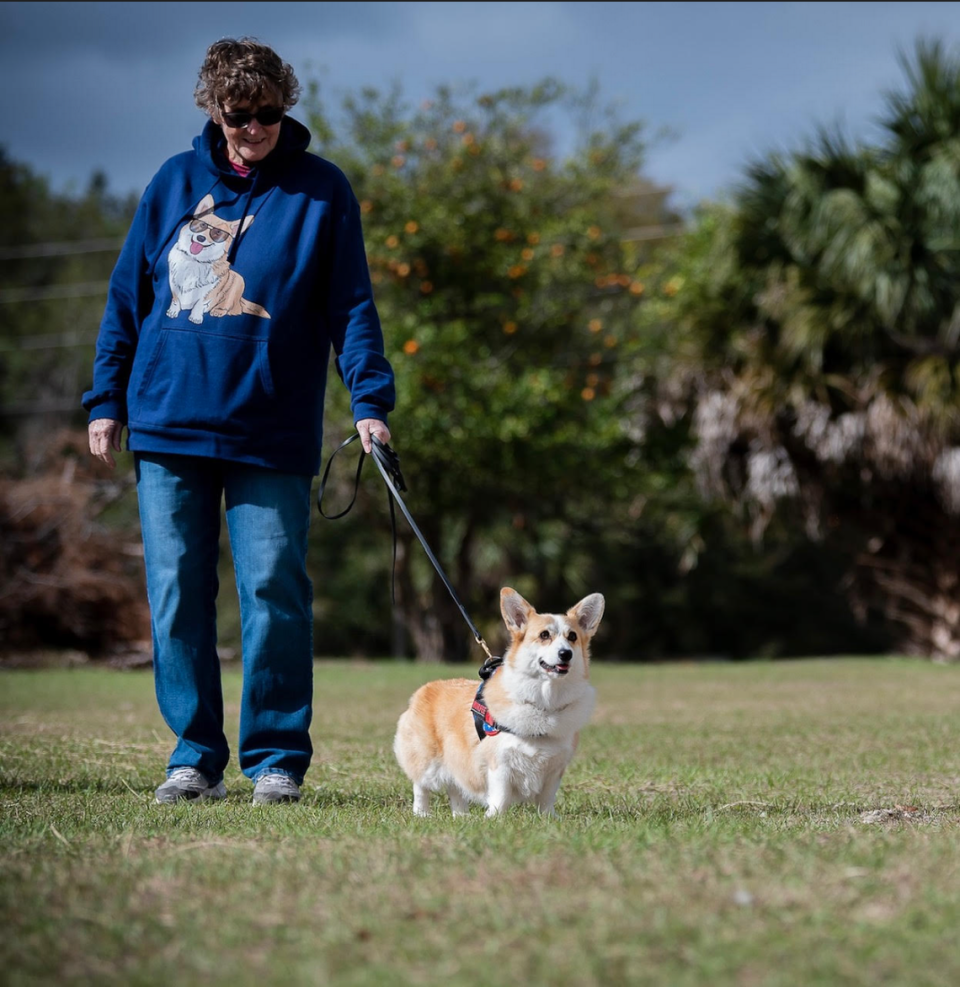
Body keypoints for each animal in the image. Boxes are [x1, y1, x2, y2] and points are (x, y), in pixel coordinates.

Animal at [165, 195, 270, 326]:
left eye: (218, 233)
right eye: (201, 225)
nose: (201, 238)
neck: (195, 261)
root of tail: (240, 300)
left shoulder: (208, 292)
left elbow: (199, 304)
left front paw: (195, 317)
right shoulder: (174, 285)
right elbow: (176, 300)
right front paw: (173, 311)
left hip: (238, 280)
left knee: (233, 308)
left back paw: (218, 311)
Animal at [394, 588, 604, 820]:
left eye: (572, 636)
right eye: (544, 635)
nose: (565, 654)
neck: (544, 703)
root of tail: (425, 689)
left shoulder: (555, 768)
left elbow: (547, 799)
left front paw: (549, 819)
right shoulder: (500, 764)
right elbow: (501, 796)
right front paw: (494, 819)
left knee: (456, 787)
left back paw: (462, 816)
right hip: (426, 762)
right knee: (420, 785)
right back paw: (422, 813)